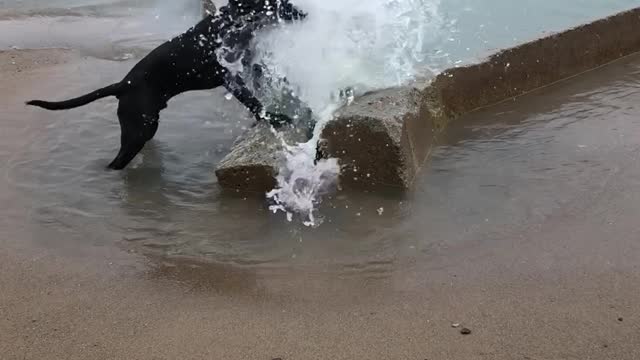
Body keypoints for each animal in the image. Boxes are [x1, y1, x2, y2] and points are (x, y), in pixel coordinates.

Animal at [29, 0, 308, 170]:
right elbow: (253, 101)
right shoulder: (231, 79)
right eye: (280, 3)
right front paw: (275, 117)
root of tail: (123, 84)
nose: (303, 13)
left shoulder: (248, 65)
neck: (230, 22)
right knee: (117, 161)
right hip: (139, 131)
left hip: (146, 125)